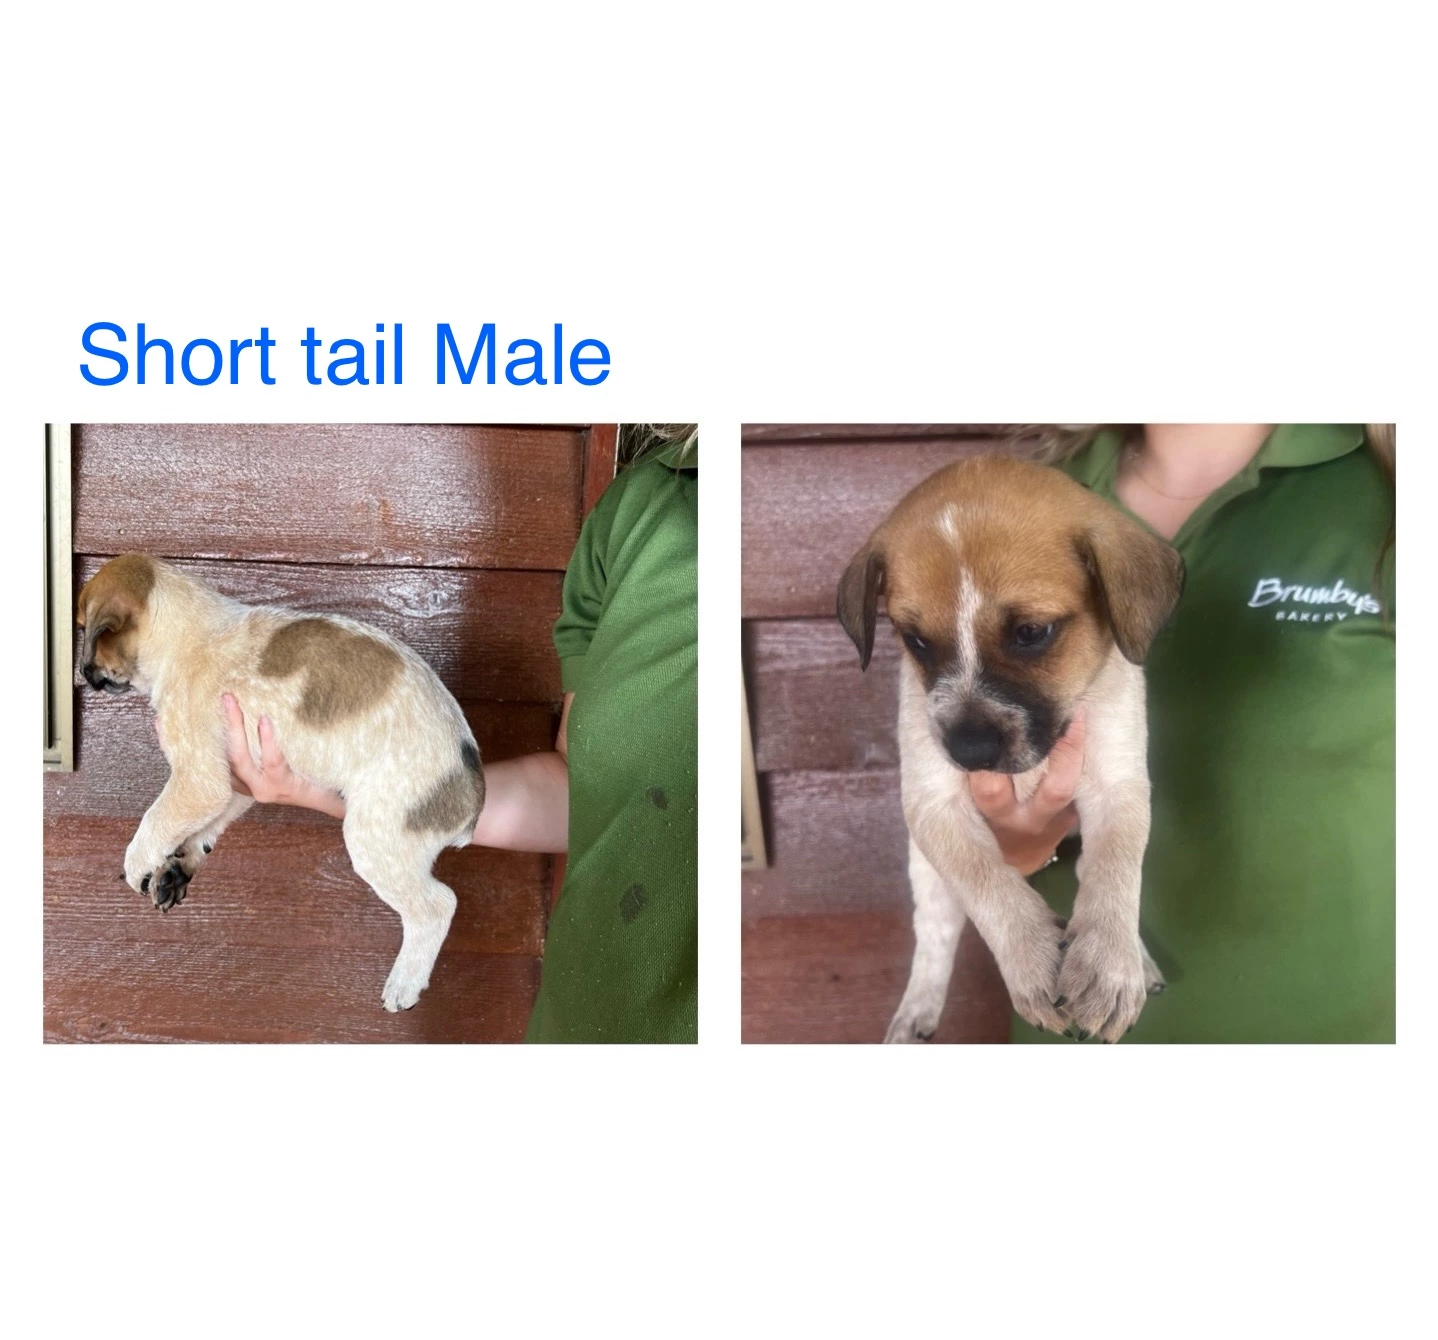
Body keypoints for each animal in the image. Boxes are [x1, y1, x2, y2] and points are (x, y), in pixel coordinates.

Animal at [77, 553, 483, 1012]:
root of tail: (471, 790)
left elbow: (155, 821)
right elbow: (202, 830)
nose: (81, 674)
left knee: (437, 905)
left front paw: (139, 861)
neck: (188, 636)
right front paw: (178, 865)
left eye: (84, 629)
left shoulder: (198, 780)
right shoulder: (236, 783)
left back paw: (406, 981)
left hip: (377, 844)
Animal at [837, 455, 1184, 1043]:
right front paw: (1032, 959)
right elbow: (989, 886)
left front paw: (1109, 965)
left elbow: (1115, 872)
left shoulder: (1118, 786)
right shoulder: (935, 808)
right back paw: (915, 1014)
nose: (970, 751)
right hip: (927, 874)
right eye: (917, 642)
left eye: (1032, 632)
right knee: (935, 937)